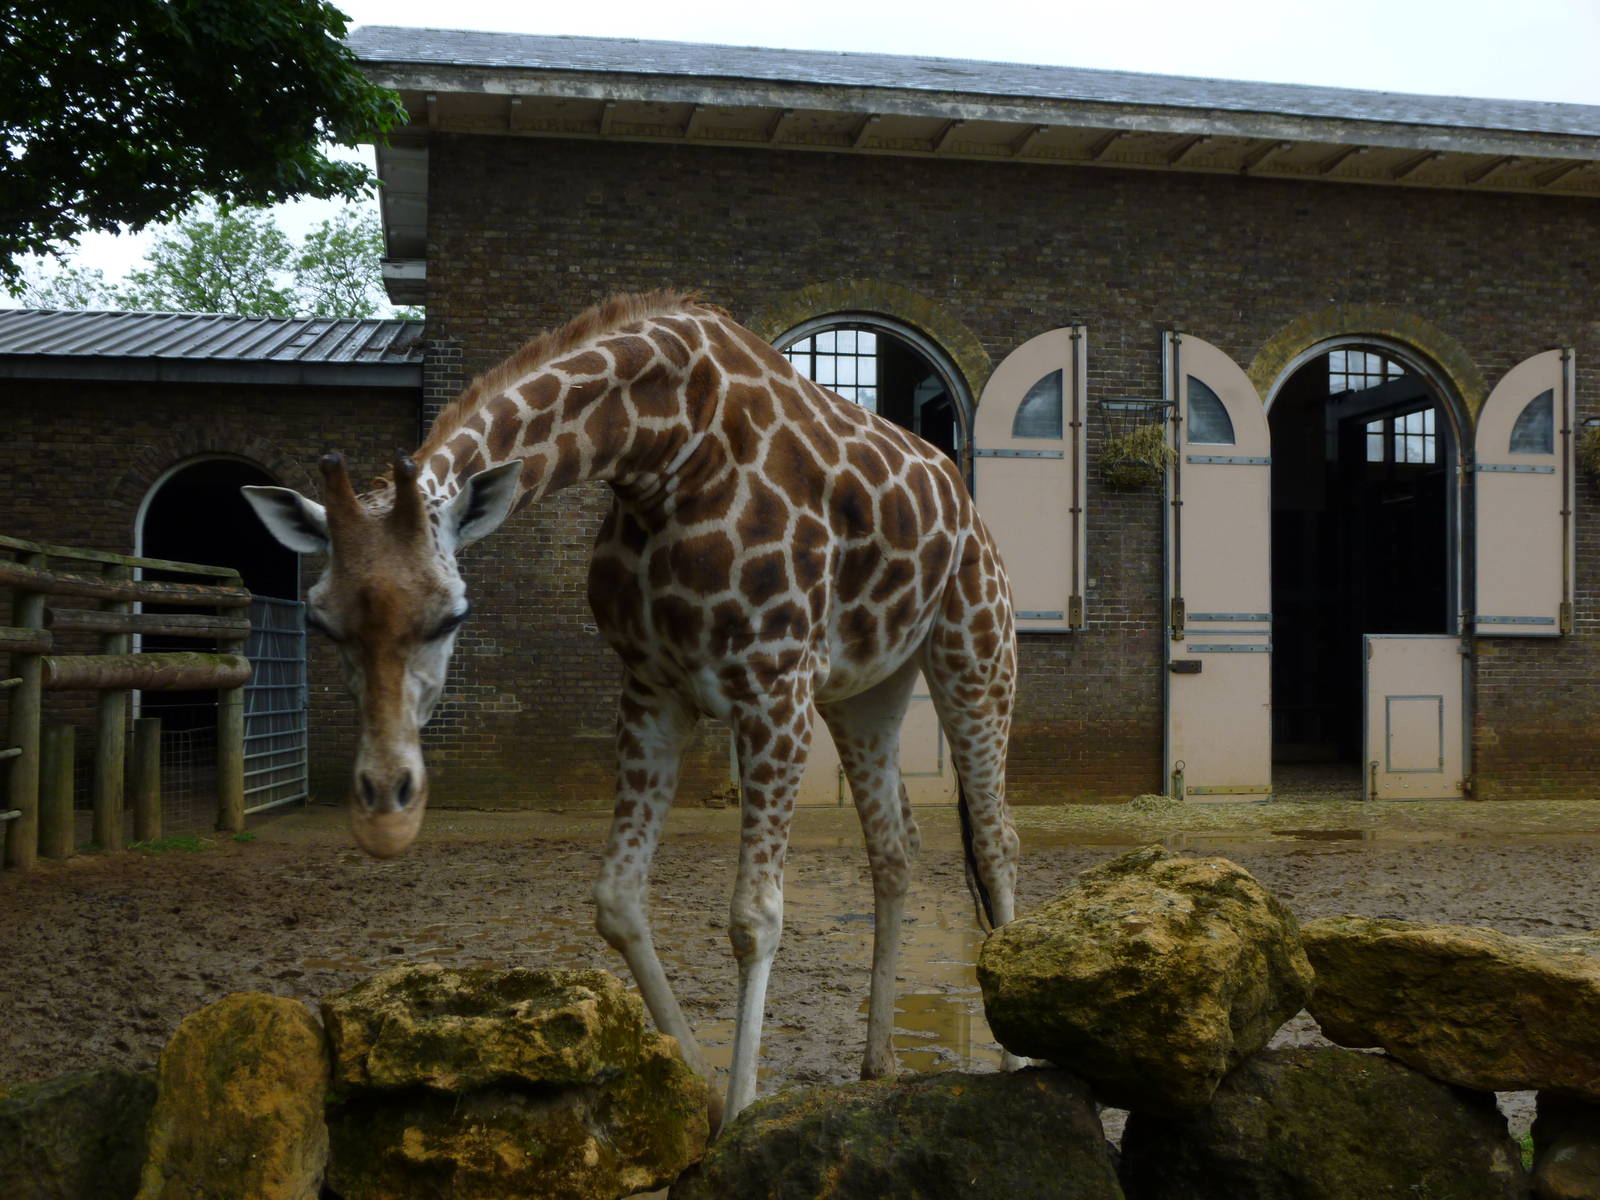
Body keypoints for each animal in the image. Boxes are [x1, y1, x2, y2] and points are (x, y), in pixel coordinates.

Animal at [242, 291, 1020, 1124]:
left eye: (453, 615)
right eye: (321, 621)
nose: (386, 810)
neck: (664, 453)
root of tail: (966, 501)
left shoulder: (774, 682)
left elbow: (756, 916)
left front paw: (739, 1114)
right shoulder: (652, 687)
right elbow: (616, 901)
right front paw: (702, 1088)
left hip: (976, 652)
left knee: (996, 837)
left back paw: (1014, 1056)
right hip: (868, 687)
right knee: (896, 844)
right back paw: (877, 1063)